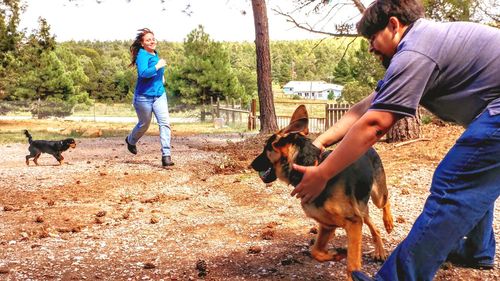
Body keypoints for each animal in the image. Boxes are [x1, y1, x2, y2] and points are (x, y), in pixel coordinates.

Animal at [252, 104, 392, 278]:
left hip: (376, 197)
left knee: (385, 201)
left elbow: (352, 266)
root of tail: (370, 148)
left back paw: (389, 223)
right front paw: (336, 253)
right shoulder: (328, 225)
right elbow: (315, 251)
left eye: (266, 148)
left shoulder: (353, 222)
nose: (251, 164)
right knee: (373, 224)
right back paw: (379, 251)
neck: (313, 165)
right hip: (360, 208)